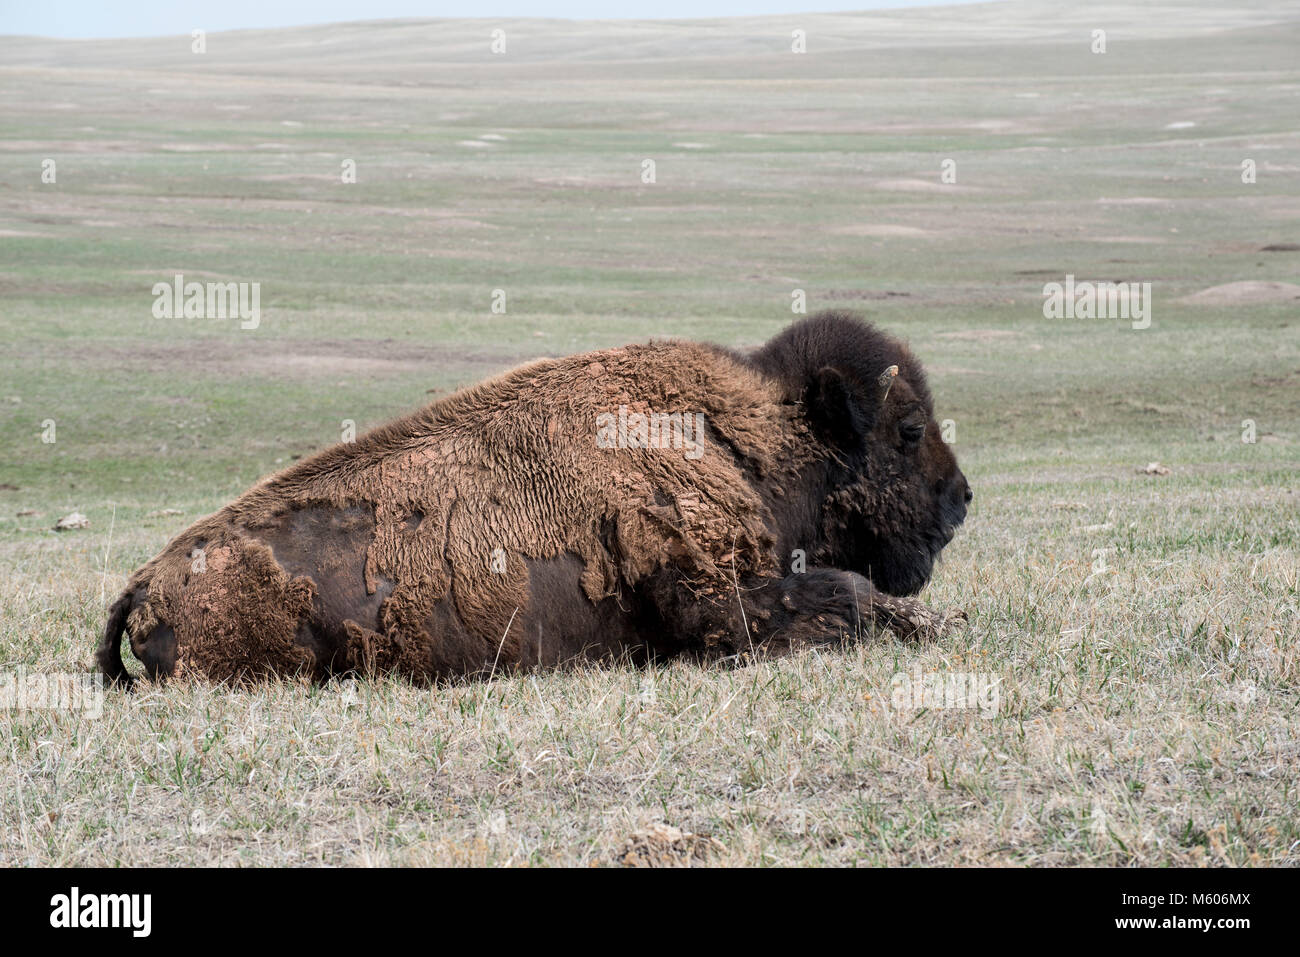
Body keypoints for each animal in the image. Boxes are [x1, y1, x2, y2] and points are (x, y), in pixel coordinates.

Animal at [98, 310, 971, 686]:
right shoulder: (716, 603)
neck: (744, 439)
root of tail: (145, 581)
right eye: (906, 429)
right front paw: (927, 623)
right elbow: (846, 592)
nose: (961, 499)